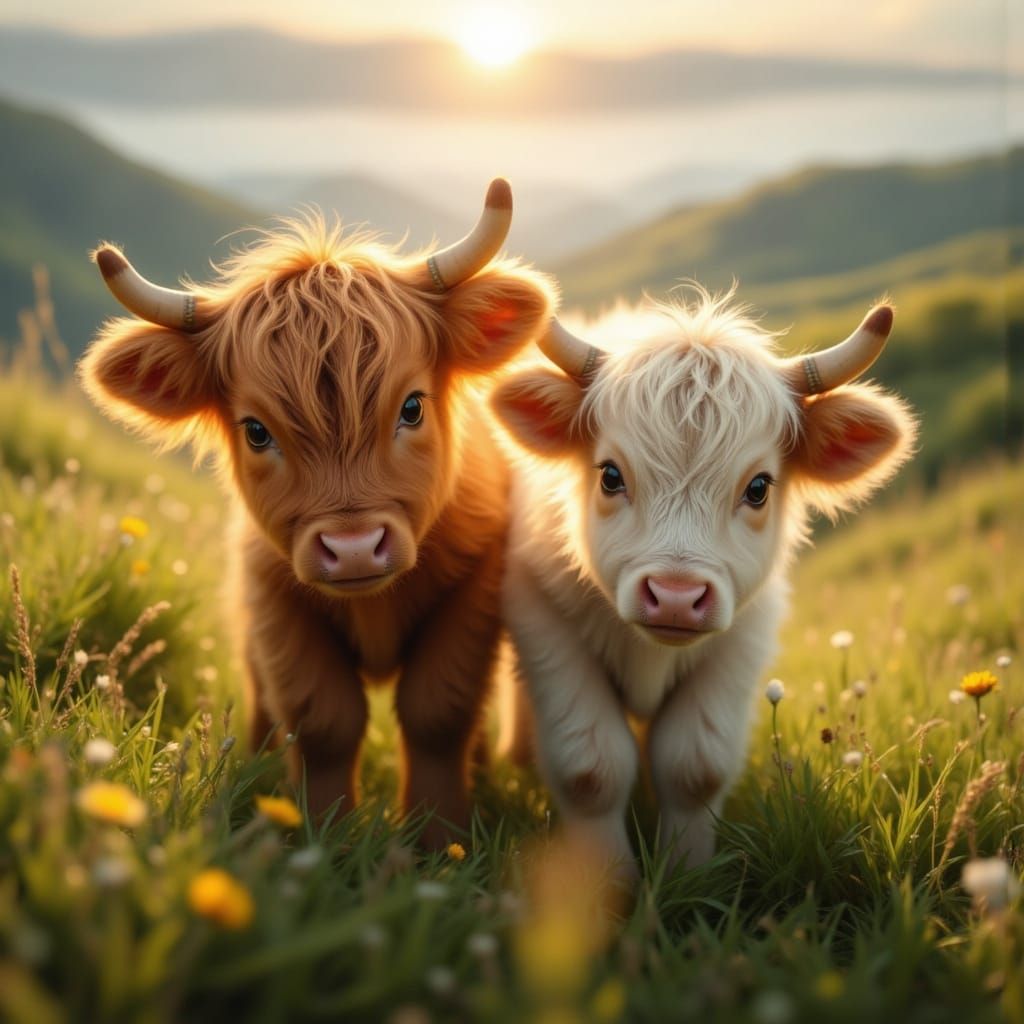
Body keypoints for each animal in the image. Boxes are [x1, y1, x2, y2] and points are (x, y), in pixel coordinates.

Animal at [79, 180, 553, 847]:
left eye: (412, 407)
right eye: (256, 431)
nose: (353, 548)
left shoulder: (473, 591)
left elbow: (438, 712)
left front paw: (440, 838)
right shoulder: (275, 602)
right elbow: (325, 720)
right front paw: (324, 838)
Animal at [491, 289, 916, 876]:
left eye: (758, 487)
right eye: (610, 475)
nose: (675, 598)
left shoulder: (742, 641)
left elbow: (694, 766)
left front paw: (684, 873)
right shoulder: (544, 624)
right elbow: (592, 768)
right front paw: (607, 880)